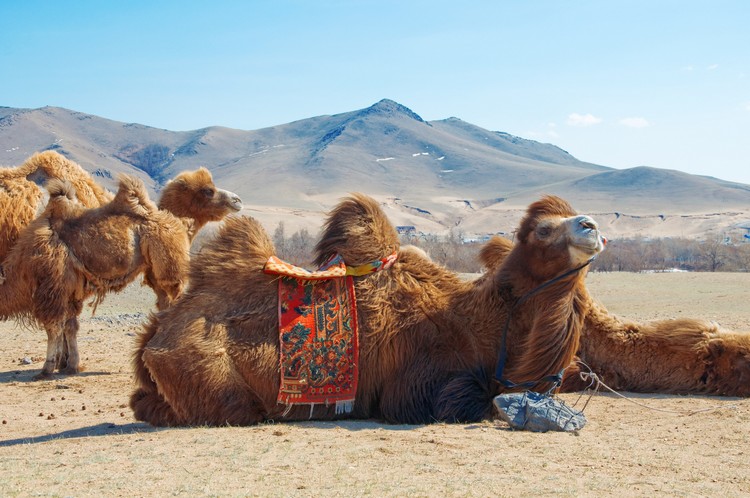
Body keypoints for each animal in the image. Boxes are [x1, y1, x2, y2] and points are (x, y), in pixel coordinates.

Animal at [0, 167, 242, 378]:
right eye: (208, 190)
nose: (237, 200)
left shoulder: (61, 287)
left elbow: (61, 326)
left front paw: (58, 367)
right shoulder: (65, 288)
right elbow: (67, 325)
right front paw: (66, 366)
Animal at [132, 193, 608, 426]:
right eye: (542, 230)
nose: (592, 225)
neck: (483, 323)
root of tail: (153, 338)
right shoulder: (419, 386)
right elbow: (461, 401)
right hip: (213, 379)